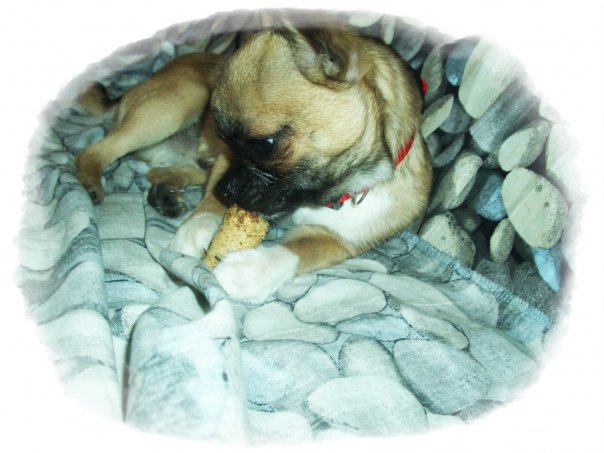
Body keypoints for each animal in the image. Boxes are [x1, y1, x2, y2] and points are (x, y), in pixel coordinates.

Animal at [75, 19, 432, 303]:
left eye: (265, 145)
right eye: (226, 138)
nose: (228, 190)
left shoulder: (337, 242)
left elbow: (296, 251)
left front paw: (251, 272)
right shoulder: (224, 162)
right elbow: (209, 202)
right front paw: (195, 229)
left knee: (163, 170)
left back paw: (165, 194)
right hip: (175, 104)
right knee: (94, 152)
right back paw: (92, 180)